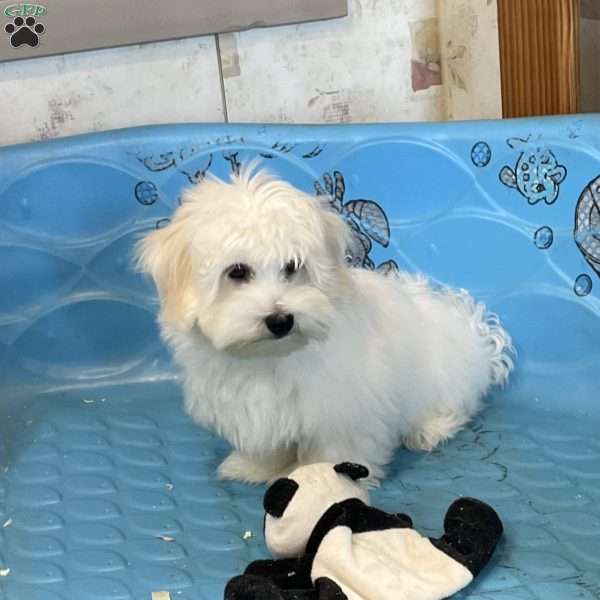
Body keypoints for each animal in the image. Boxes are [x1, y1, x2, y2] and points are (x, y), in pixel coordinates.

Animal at [136, 165, 510, 482]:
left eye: (292, 266)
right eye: (237, 272)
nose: (281, 320)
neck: (269, 358)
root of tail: (471, 331)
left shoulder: (342, 407)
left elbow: (336, 449)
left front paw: (328, 481)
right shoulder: (252, 407)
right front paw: (251, 467)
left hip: (442, 377)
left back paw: (428, 429)